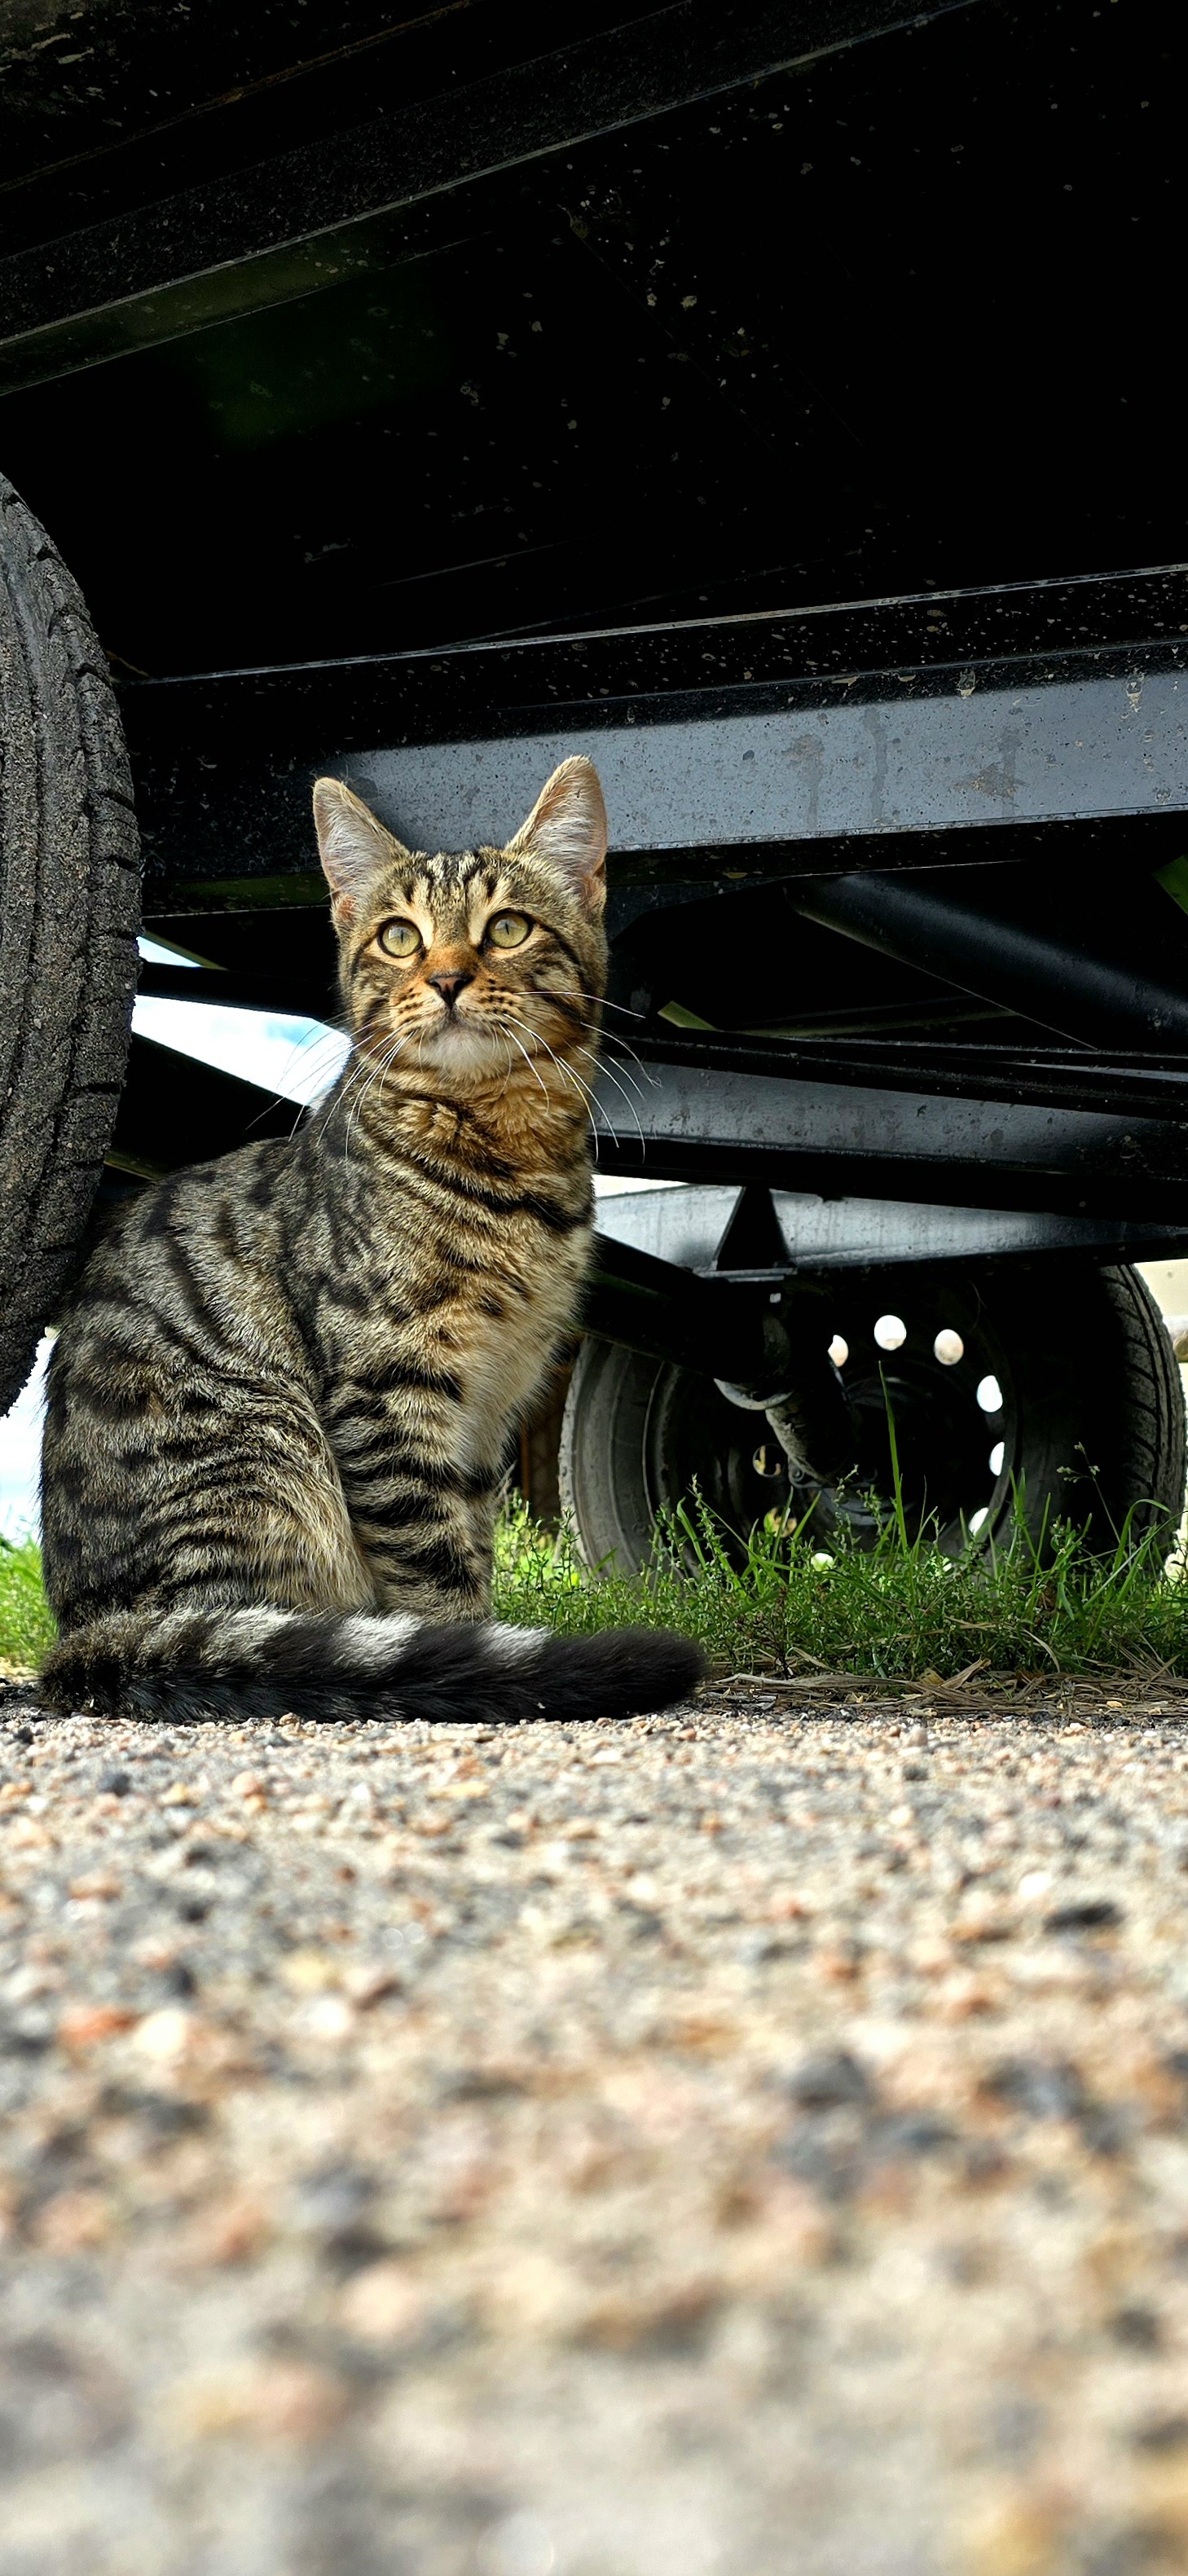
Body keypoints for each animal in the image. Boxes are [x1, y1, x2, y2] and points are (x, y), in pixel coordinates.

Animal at [34, 762, 706, 1730]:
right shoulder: (387, 1385)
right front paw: (469, 1661)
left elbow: (469, 1540)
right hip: (264, 1461)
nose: (451, 977)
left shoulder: (491, 1406)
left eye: (507, 928)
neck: (502, 1156)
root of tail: (83, 1632)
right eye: (399, 937)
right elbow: (433, 1569)